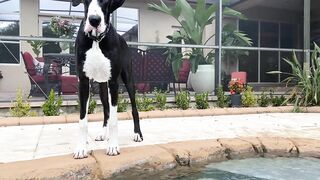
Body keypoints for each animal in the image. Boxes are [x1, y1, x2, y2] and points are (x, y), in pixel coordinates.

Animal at [72, 0, 143, 159]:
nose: (94, 20)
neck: (97, 40)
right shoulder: (83, 82)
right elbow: (82, 119)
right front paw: (81, 147)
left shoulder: (114, 83)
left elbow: (115, 120)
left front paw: (113, 146)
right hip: (102, 87)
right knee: (106, 110)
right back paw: (102, 133)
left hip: (128, 80)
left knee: (134, 109)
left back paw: (137, 134)